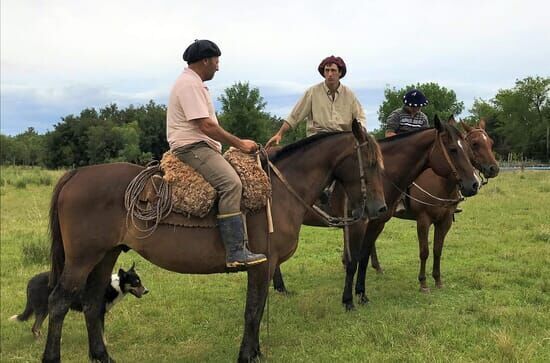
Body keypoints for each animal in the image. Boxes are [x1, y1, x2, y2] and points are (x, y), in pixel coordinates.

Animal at [10, 264, 149, 338]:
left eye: (140, 281)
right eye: (136, 283)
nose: (147, 291)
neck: (114, 286)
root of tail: (30, 281)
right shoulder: (97, 313)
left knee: (36, 328)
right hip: (43, 310)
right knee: (35, 328)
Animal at [41, 120, 388, 363]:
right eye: (371, 162)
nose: (379, 209)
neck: (279, 191)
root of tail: (76, 174)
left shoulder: (266, 268)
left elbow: (257, 309)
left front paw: (256, 351)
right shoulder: (261, 266)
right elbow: (253, 311)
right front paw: (247, 354)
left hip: (105, 255)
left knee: (91, 303)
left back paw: (102, 355)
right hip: (81, 259)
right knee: (58, 303)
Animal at [274, 116, 480, 310]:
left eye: (468, 148)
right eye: (453, 149)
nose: (474, 184)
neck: (381, 177)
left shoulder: (377, 223)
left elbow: (364, 258)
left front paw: (362, 295)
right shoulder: (357, 225)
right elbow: (353, 261)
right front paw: (348, 301)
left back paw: (280, 288)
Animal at [368, 119, 502, 292]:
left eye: (491, 143)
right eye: (474, 144)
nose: (494, 168)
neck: (441, 182)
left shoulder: (445, 221)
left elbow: (437, 250)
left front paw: (438, 280)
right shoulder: (423, 220)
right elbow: (424, 251)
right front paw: (423, 283)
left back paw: (376, 267)